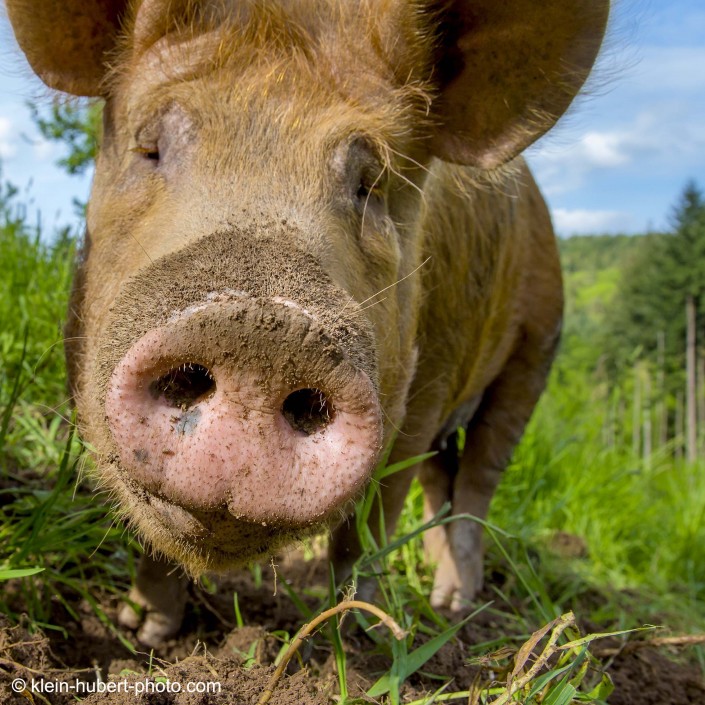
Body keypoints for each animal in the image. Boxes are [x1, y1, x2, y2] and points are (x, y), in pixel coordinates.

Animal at [6, 0, 608, 646]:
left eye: (372, 183)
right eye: (151, 148)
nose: (257, 332)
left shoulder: (427, 381)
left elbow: (372, 516)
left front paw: (359, 635)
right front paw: (143, 632)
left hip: (536, 348)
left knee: (478, 479)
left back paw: (450, 606)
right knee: (442, 482)